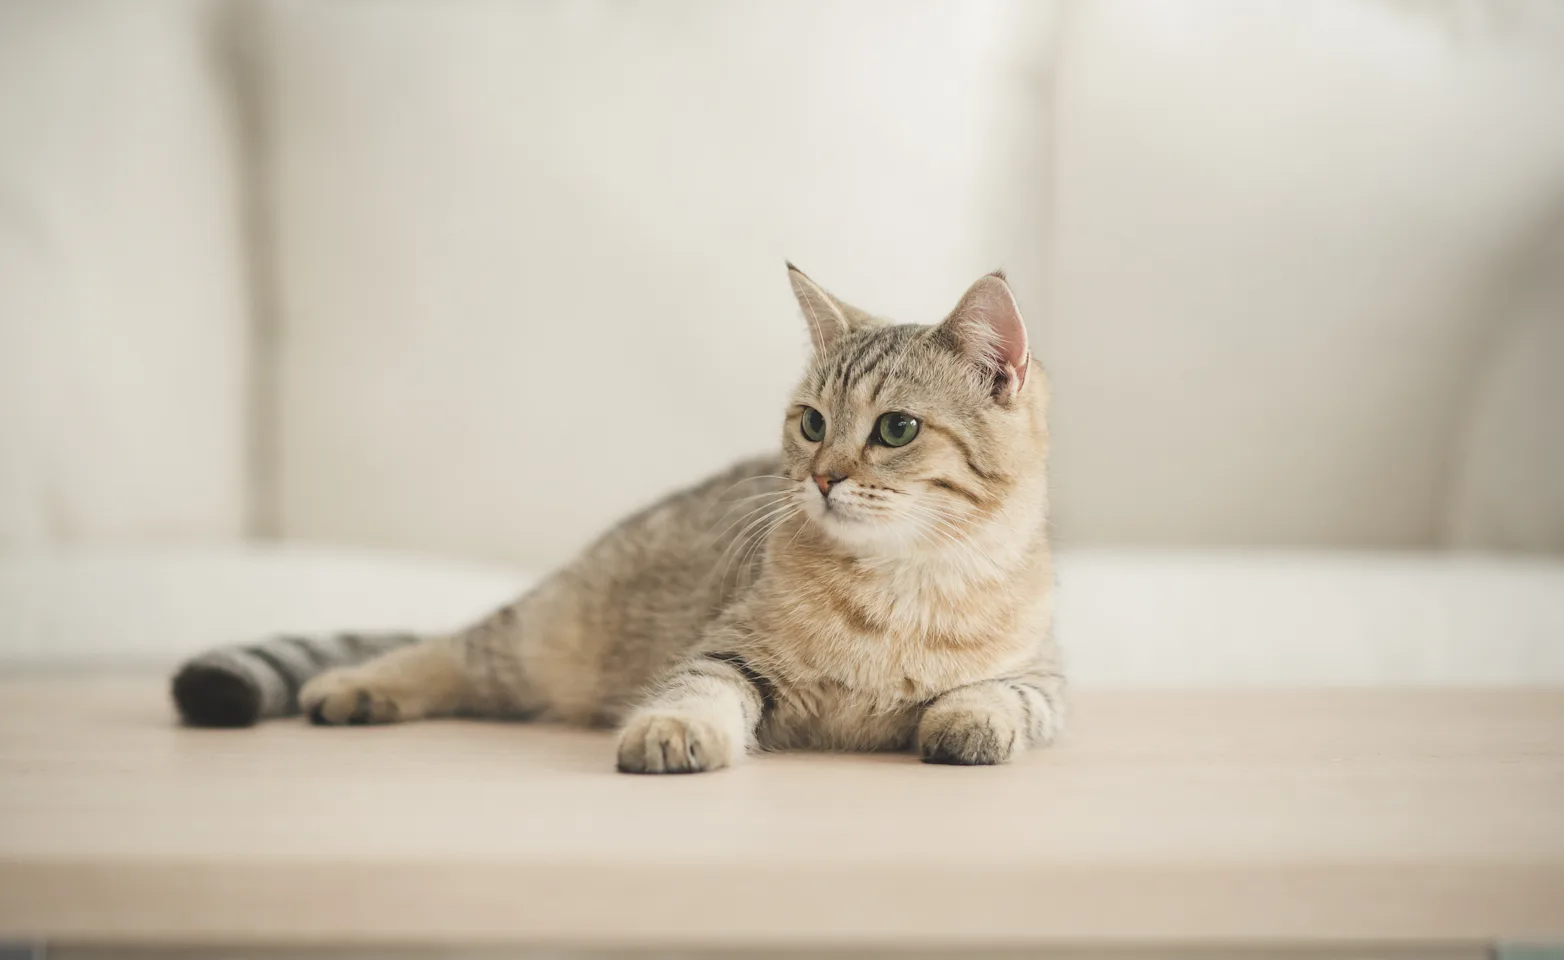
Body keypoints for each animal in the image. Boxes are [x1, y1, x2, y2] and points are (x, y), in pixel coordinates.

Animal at [171, 265, 1063, 775]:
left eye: (897, 429)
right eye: (811, 422)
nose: (821, 476)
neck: (902, 582)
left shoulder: (1047, 679)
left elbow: (1008, 697)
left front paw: (968, 718)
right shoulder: (726, 648)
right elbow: (699, 689)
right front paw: (674, 729)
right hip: (542, 633)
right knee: (450, 650)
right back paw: (355, 685)